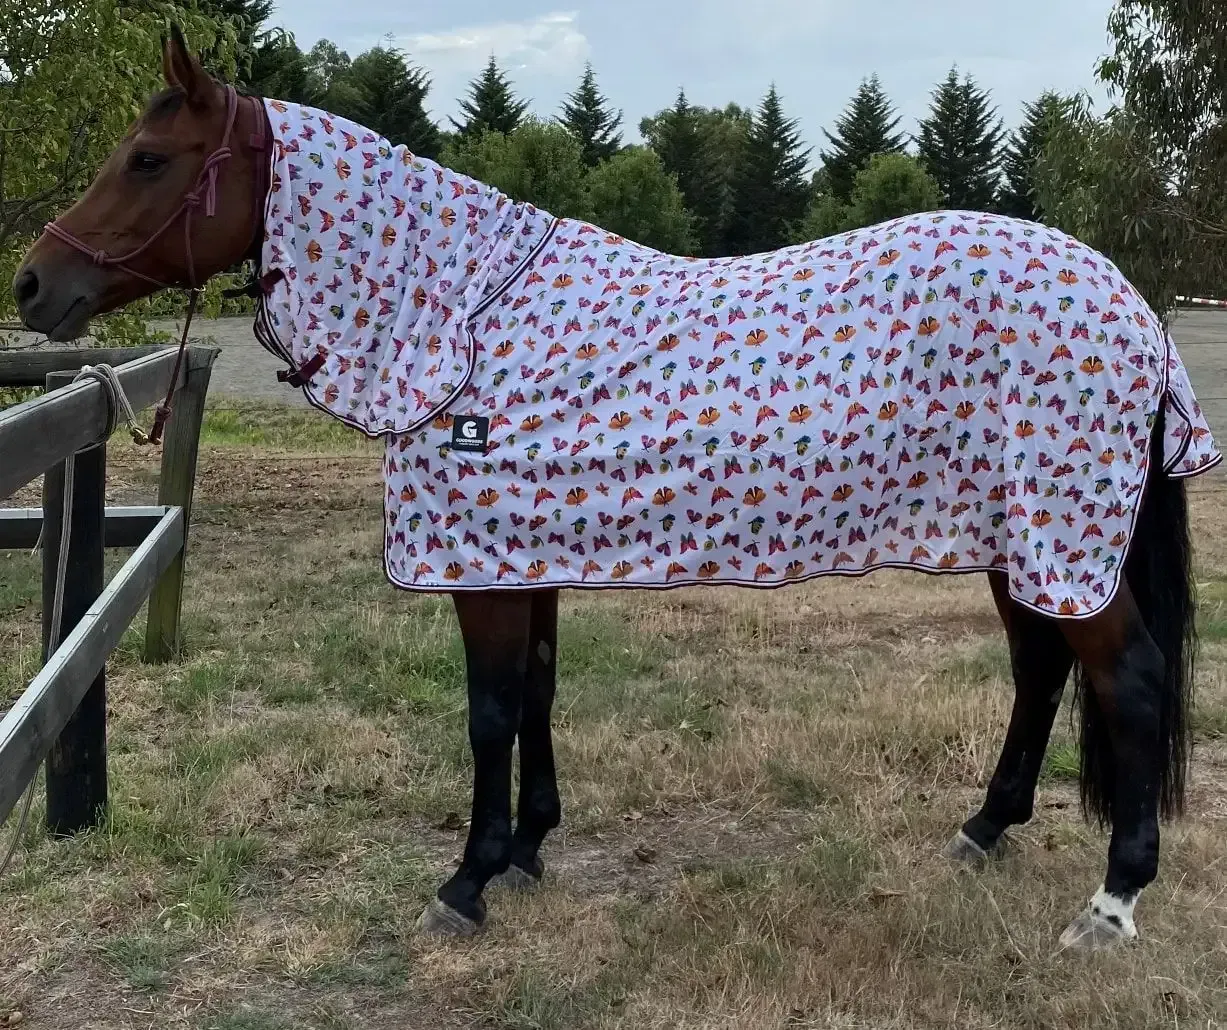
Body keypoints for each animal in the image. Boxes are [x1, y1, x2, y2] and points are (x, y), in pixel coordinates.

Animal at [12, 25, 1223, 951]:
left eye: (150, 158)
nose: (33, 281)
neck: (461, 320)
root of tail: (1127, 300)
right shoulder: (522, 556)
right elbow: (537, 696)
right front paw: (528, 848)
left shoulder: (480, 572)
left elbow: (490, 713)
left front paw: (468, 881)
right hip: (1021, 541)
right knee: (1041, 670)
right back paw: (985, 828)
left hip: (1062, 534)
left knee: (1129, 680)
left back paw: (1111, 902)